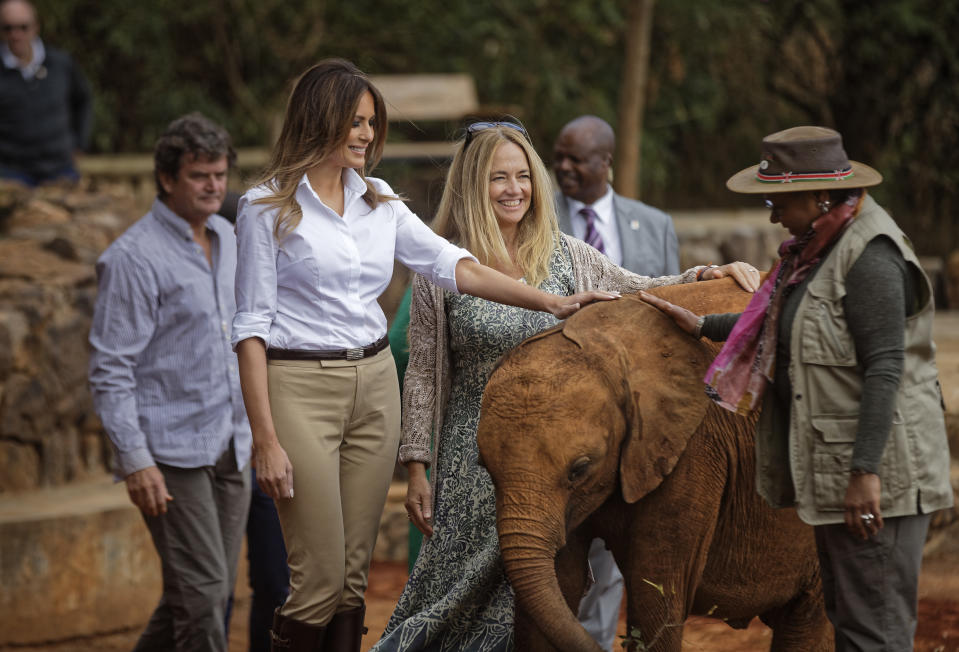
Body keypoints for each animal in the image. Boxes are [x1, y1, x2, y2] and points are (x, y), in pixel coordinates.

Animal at [480, 278, 832, 652]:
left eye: (580, 469)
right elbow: (559, 585)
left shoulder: (693, 446)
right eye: (485, 469)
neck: (607, 345)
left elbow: (655, 599)